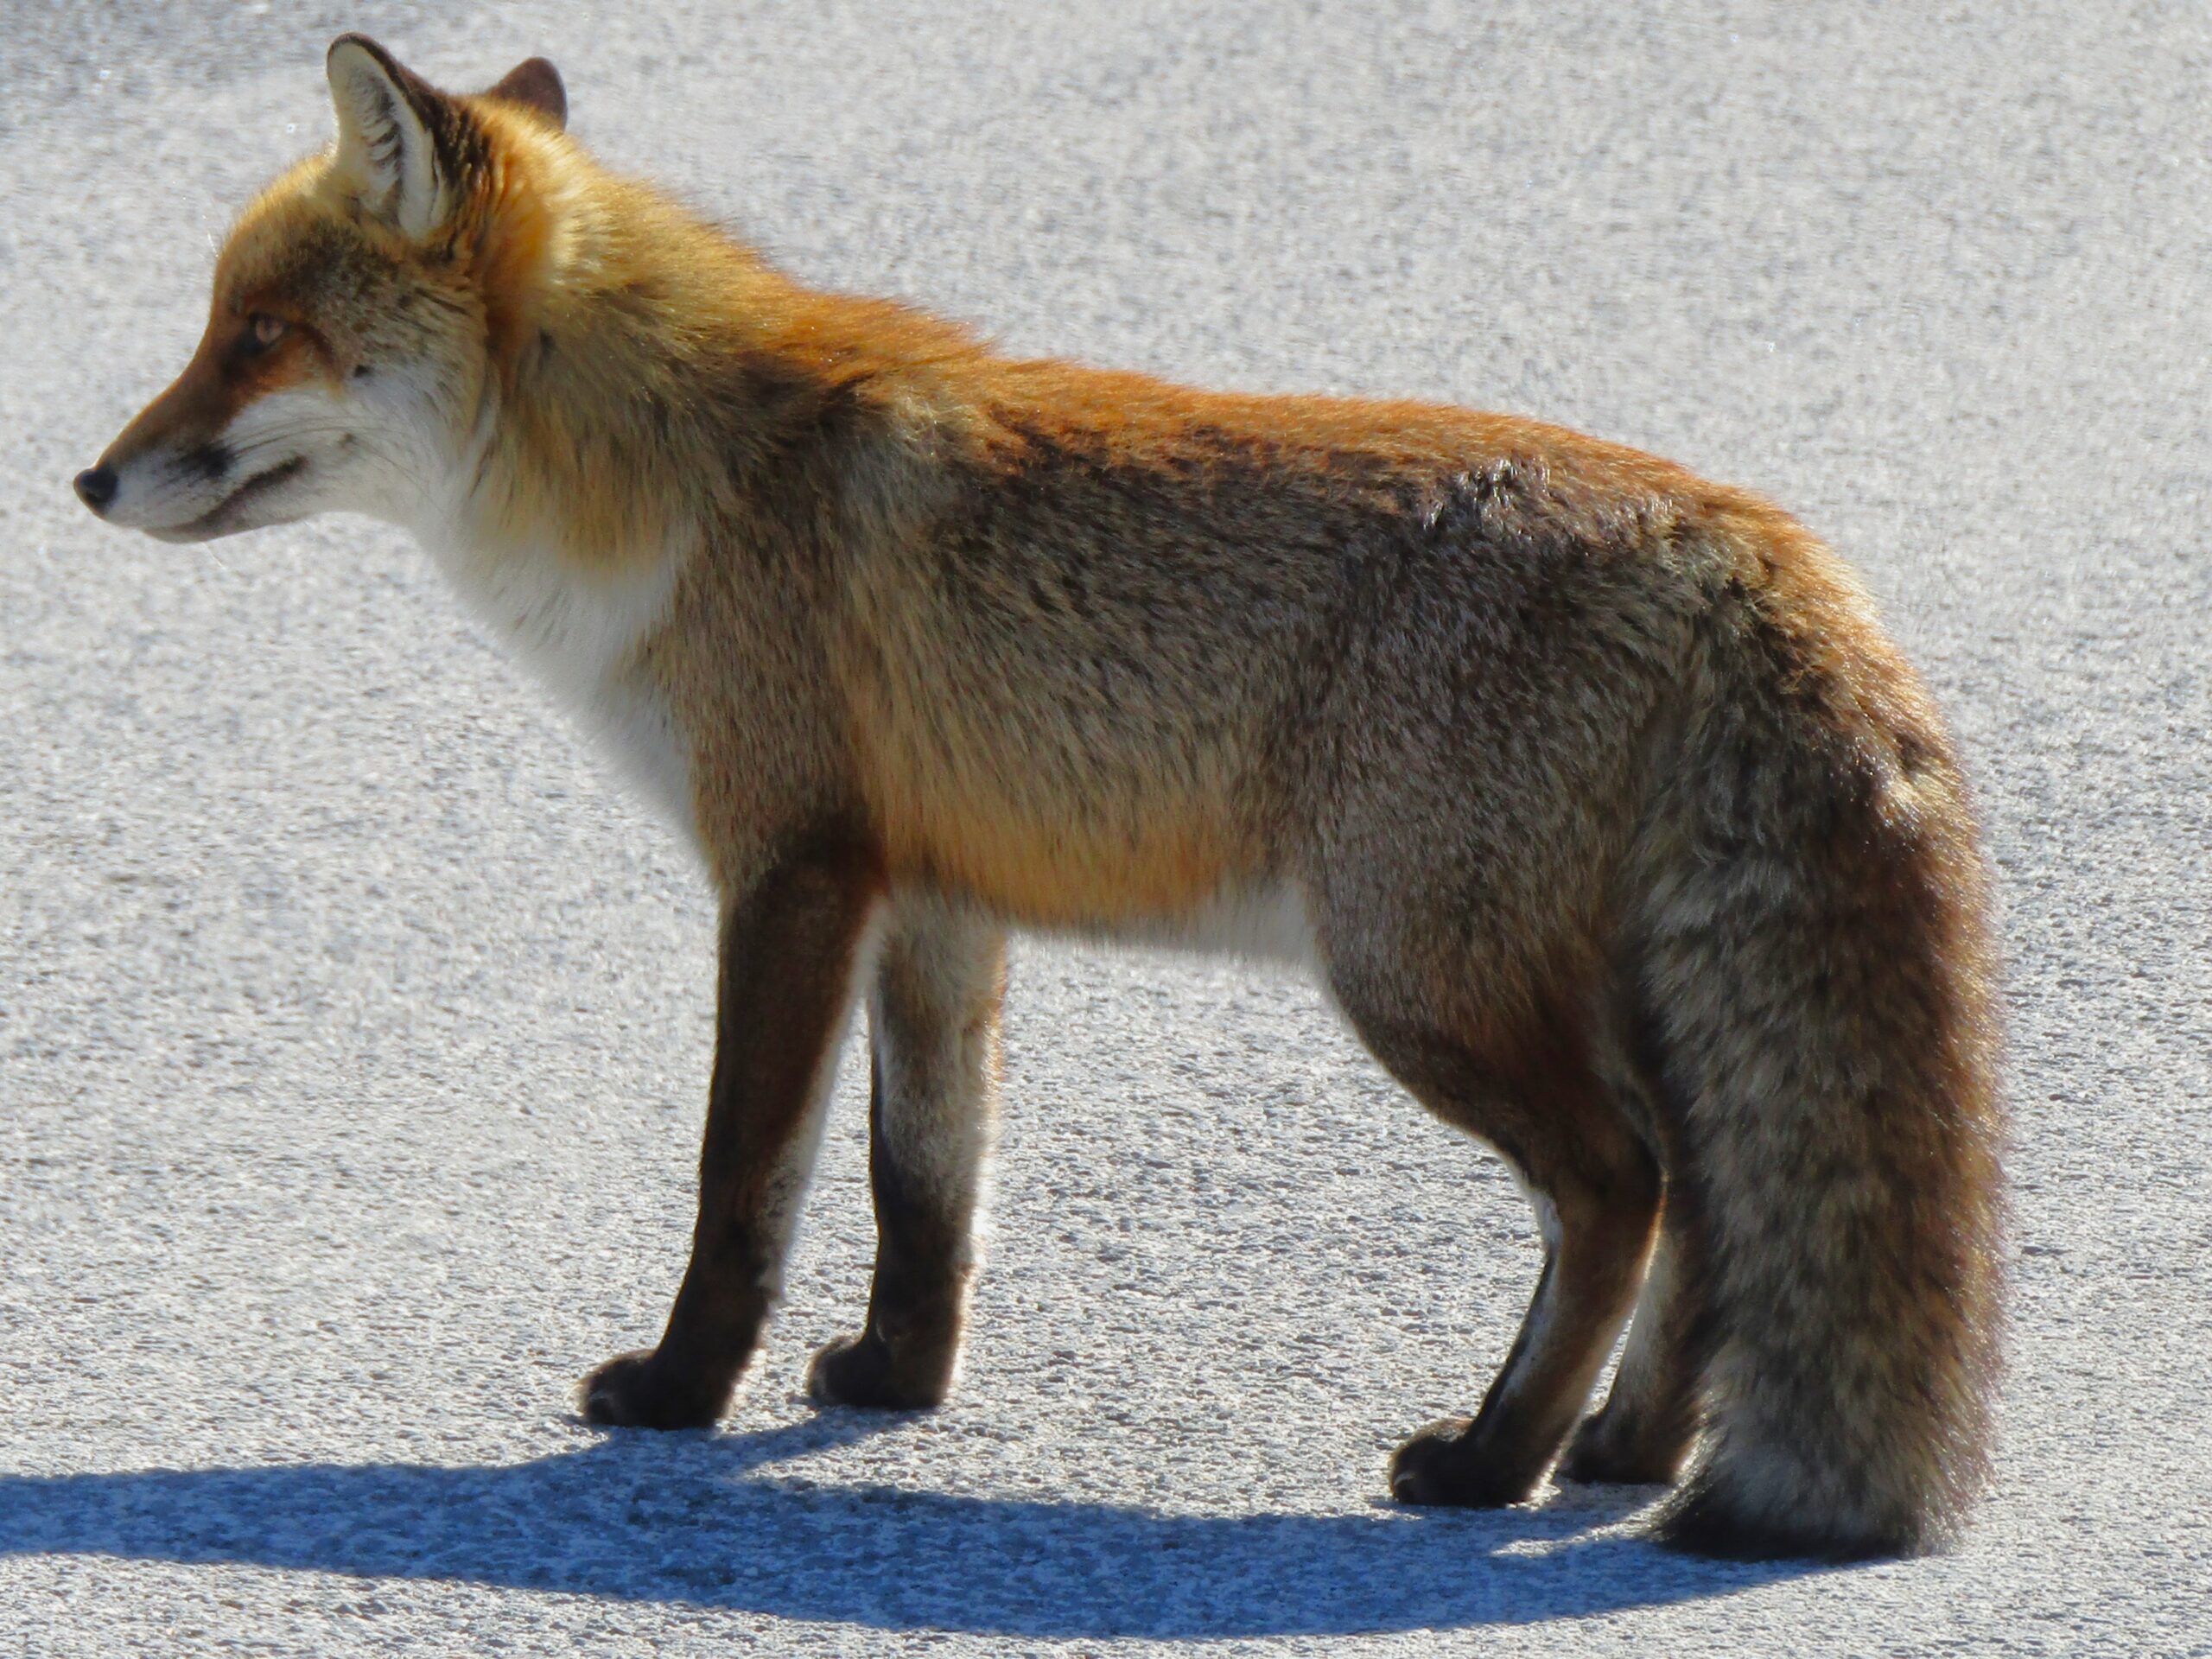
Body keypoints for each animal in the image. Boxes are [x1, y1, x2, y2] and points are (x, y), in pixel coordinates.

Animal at [73, 35, 2008, 1574]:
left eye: (257, 338)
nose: (89, 480)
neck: (678, 486)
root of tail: (1735, 528)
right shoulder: (935, 901)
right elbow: (922, 1186)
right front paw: (894, 1386)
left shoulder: (787, 869)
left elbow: (742, 1180)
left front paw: (682, 1395)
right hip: (1562, 983)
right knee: (1706, 1212)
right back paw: (1622, 1448)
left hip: (1415, 987)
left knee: (1622, 1194)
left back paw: (1491, 1462)